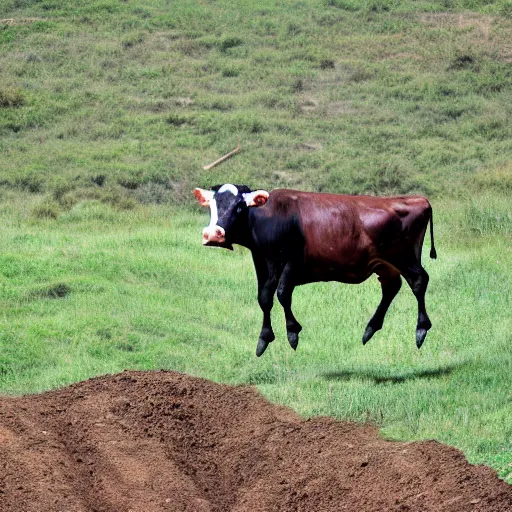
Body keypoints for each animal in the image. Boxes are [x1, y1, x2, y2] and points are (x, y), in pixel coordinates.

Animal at [192, 183, 436, 356]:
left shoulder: (292, 260)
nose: (213, 234)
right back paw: (370, 329)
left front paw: (292, 331)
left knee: (419, 280)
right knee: (392, 287)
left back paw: (421, 329)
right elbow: (264, 298)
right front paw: (264, 338)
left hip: (403, 256)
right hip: (385, 264)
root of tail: (418, 199)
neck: (271, 218)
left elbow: (282, 294)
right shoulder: (262, 261)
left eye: (239, 206)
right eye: (211, 206)